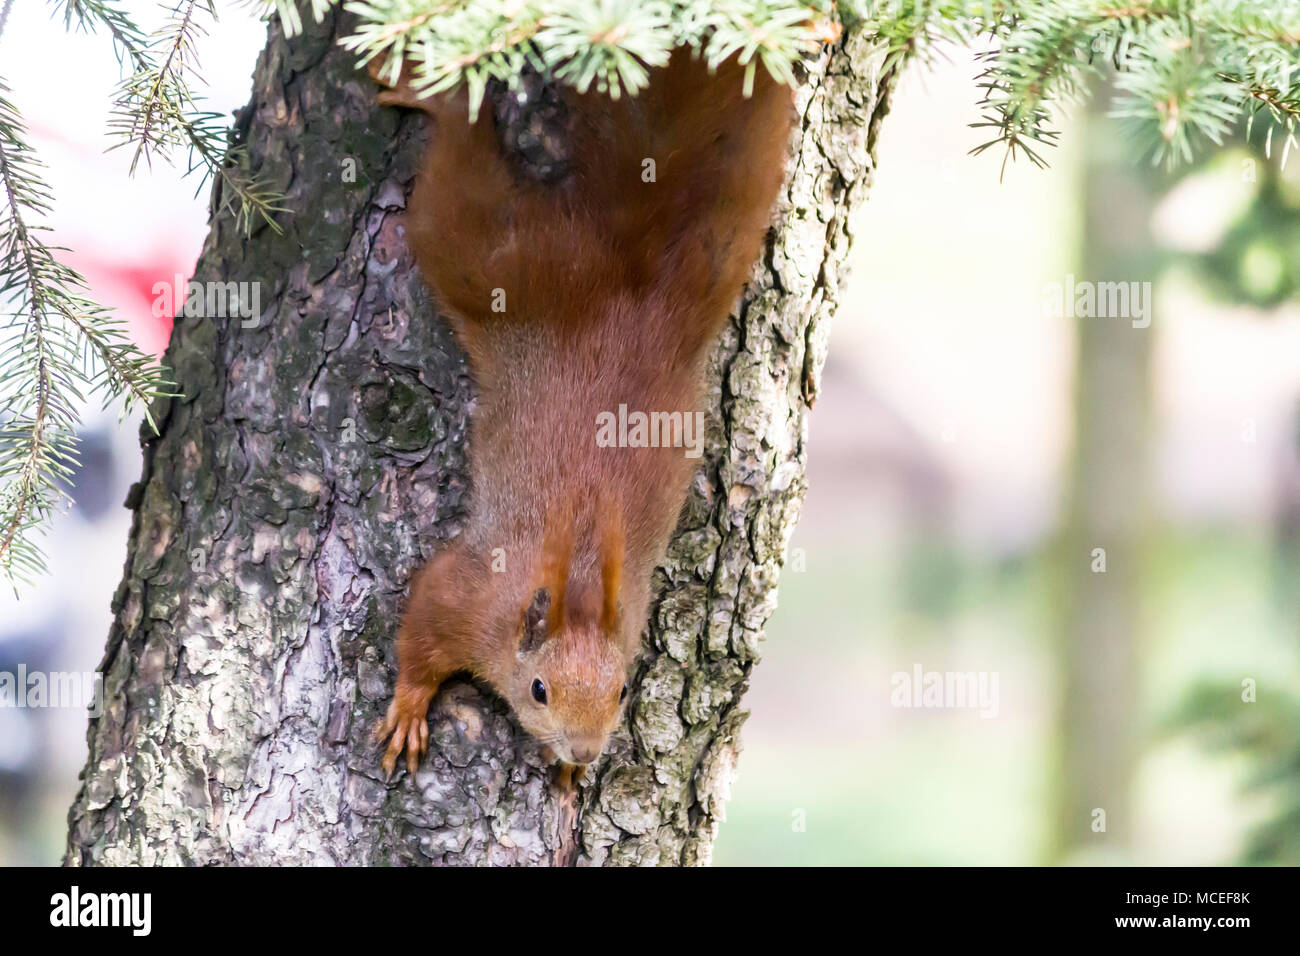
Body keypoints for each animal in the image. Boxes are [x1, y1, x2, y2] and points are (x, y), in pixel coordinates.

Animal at [366, 48, 790, 785]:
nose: (586, 751)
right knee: (460, 184)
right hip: (492, 260)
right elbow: (420, 628)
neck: (585, 590)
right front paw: (411, 706)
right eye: (540, 690)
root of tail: (635, 289)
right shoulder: (467, 597)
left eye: (622, 691)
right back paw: (436, 95)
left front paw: (566, 771)